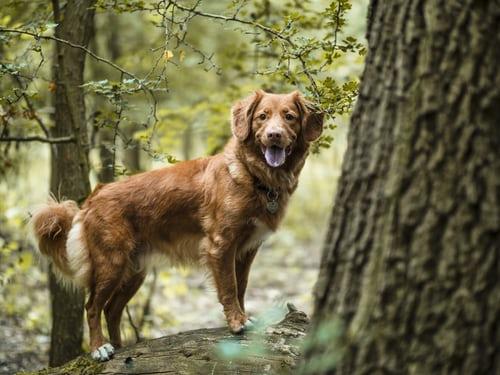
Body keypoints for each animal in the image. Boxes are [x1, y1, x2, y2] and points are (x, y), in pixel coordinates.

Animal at [33, 89, 326, 362]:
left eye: (289, 117)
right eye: (262, 117)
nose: (274, 135)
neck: (251, 175)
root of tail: (94, 196)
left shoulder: (246, 250)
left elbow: (241, 287)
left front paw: (242, 317)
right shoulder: (220, 245)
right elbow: (229, 288)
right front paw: (236, 323)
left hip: (134, 271)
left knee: (111, 309)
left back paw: (119, 346)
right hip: (111, 263)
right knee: (93, 307)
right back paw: (99, 348)